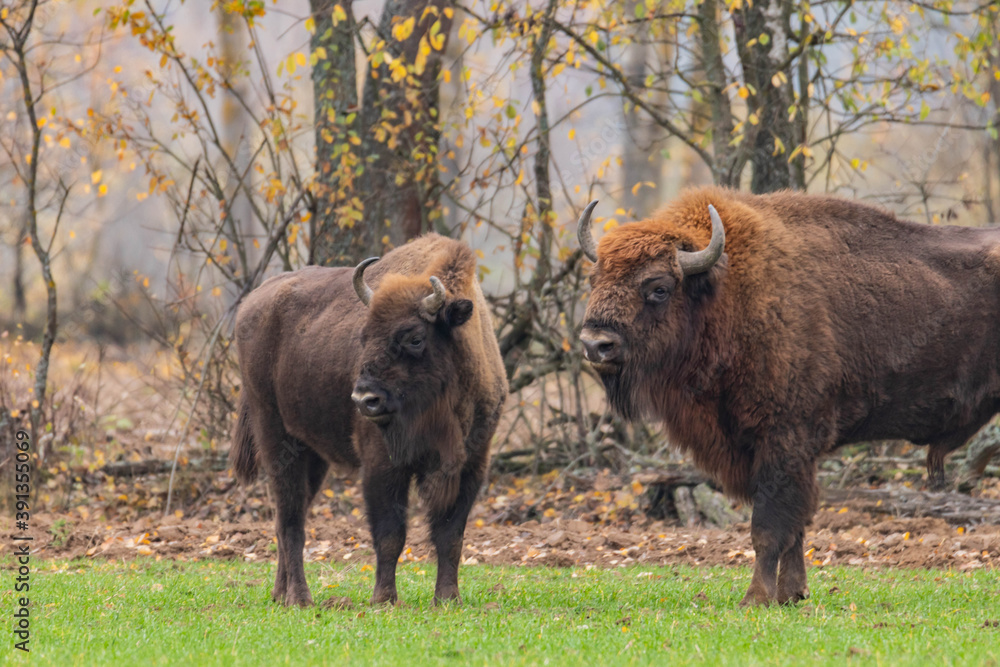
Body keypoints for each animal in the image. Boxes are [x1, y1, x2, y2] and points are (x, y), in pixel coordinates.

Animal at [230, 237, 504, 608]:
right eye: (363, 337)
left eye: (415, 338)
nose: (364, 400)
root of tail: (250, 304)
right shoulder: (382, 465)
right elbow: (390, 533)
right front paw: (384, 598)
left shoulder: (472, 465)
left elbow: (451, 536)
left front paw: (448, 599)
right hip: (275, 438)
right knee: (290, 522)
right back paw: (300, 598)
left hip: (312, 455)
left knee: (286, 518)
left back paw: (280, 594)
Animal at [576, 188, 1000, 604]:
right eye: (594, 279)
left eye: (659, 288)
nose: (596, 344)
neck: (730, 292)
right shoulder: (784, 453)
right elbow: (795, 527)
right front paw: (793, 594)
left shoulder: (783, 442)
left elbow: (768, 527)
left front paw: (756, 598)